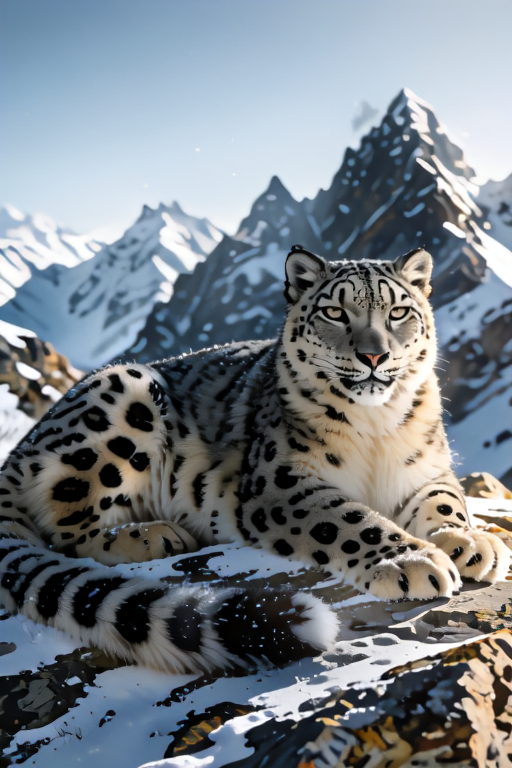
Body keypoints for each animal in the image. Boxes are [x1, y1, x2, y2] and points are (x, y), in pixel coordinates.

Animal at [0, 245, 509, 673]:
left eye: (398, 311)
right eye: (334, 311)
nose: (373, 355)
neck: (377, 428)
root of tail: (19, 449)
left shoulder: (427, 468)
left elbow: (445, 500)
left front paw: (469, 542)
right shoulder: (279, 482)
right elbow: (348, 519)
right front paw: (411, 561)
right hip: (123, 397)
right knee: (64, 530)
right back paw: (153, 536)